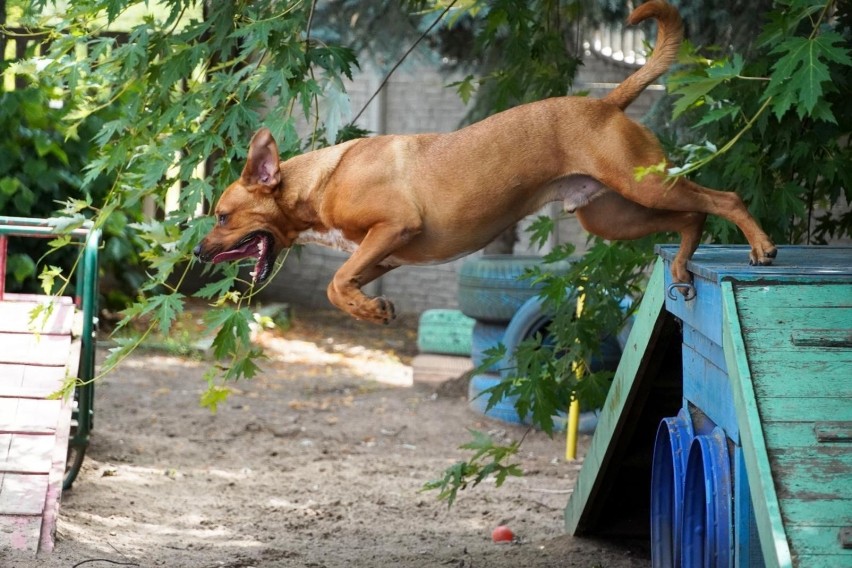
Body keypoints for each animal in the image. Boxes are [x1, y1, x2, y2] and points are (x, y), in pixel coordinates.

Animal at [195, 0, 780, 322]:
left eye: (222, 215)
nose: (199, 252)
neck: (317, 182)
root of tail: (606, 103)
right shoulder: (381, 254)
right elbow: (341, 283)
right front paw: (370, 308)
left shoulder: (393, 227)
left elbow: (335, 282)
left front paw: (371, 310)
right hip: (615, 214)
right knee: (692, 215)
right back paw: (682, 264)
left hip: (646, 185)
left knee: (723, 197)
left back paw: (761, 247)